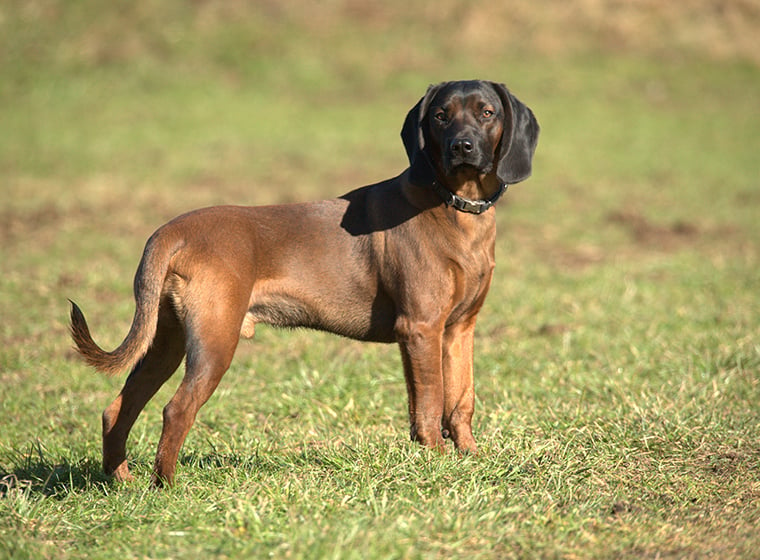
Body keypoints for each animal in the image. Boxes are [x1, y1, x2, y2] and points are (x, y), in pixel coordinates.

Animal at [68, 80, 536, 486]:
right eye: (440, 115)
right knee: (176, 409)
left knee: (118, 408)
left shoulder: (459, 330)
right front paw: (436, 459)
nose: (463, 147)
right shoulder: (420, 329)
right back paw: (166, 487)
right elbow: (430, 402)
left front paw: (470, 456)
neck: (454, 206)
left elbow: (461, 400)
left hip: (166, 340)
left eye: (487, 113)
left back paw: (122, 479)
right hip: (213, 342)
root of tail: (172, 232)